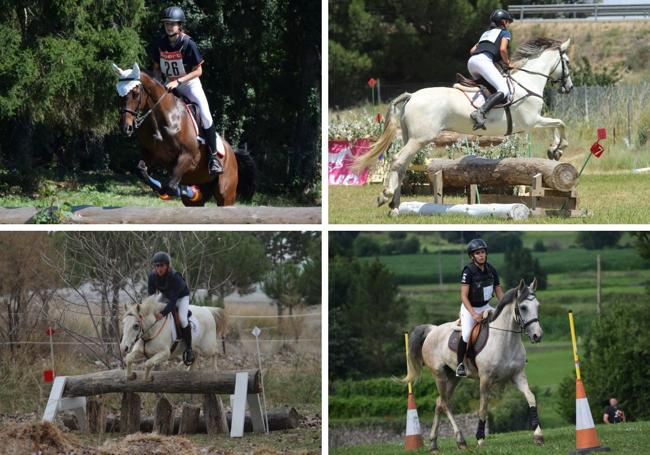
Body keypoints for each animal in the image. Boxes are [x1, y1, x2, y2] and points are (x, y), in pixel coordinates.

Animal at [111, 63, 253, 207]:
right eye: (119, 95)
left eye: (135, 93)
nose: (126, 128)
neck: (162, 119)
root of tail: (232, 153)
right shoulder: (151, 153)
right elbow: (141, 170)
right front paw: (166, 188)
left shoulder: (188, 156)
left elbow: (171, 186)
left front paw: (179, 190)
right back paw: (194, 192)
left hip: (226, 195)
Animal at [352, 37, 568, 216]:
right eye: (566, 61)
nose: (569, 87)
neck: (527, 82)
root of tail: (412, 96)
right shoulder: (533, 120)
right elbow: (560, 123)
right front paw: (558, 148)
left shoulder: (533, 122)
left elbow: (556, 124)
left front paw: (554, 150)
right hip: (420, 139)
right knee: (397, 160)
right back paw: (385, 196)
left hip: (410, 138)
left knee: (403, 167)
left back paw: (395, 207)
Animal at [404, 282, 540, 452]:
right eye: (523, 307)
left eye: (537, 305)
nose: (537, 335)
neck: (505, 339)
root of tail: (432, 330)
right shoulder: (485, 379)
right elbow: (483, 408)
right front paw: (480, 439)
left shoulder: (518, 375)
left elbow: (530, 397)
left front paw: (538, 435)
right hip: (439, 374)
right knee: (445, 403)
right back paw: (460, 439)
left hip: (453, 377)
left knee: (439, 402)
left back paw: (434, 443)